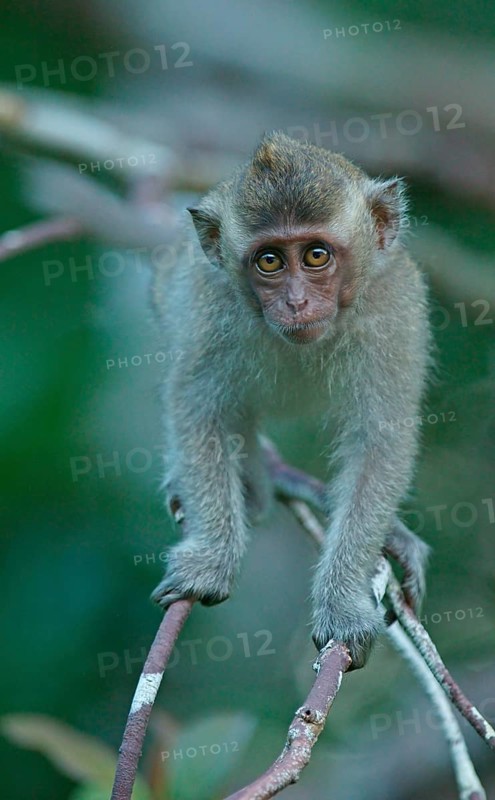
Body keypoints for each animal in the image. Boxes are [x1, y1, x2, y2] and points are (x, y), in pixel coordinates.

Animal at [150, 132, 430, 669]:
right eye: (270, 261)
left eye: (316, 256)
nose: (296, 303)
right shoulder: (209, 307)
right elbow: (199, 409)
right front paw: (212, 560)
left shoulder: (394, 309)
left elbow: (378, 444)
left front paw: (342, 605)